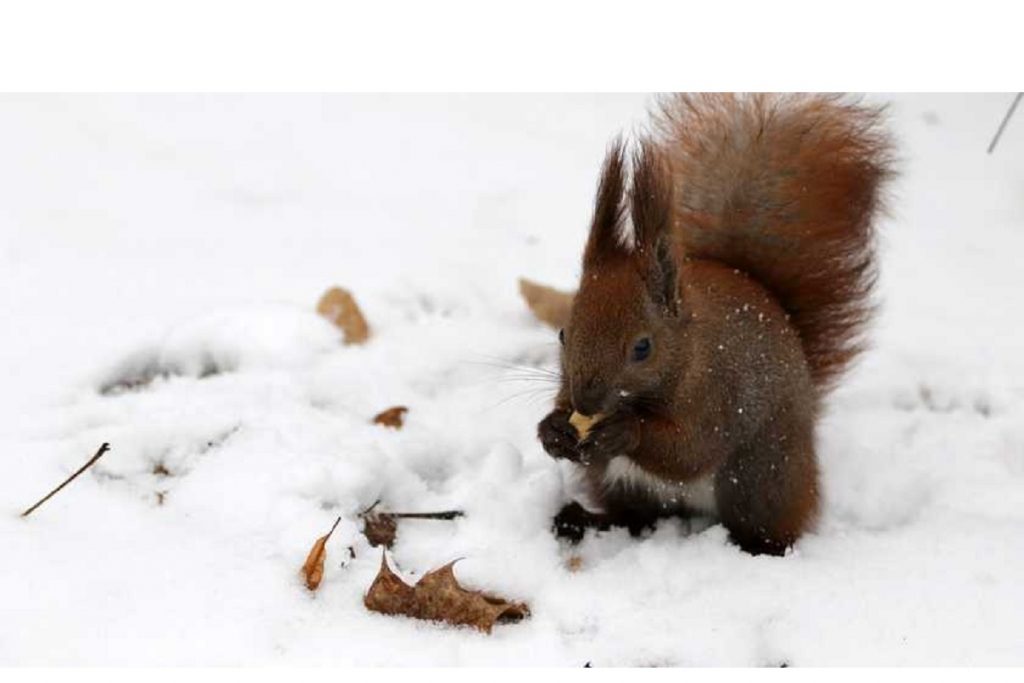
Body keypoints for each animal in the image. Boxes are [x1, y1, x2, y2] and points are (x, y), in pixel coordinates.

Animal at [540, 94, 892, 557]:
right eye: (563, 334)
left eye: (643, 348)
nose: (586, 401)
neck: (686, 354)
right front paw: (552, 430)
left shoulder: (717, 395)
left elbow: (690, 449)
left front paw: (624, 431)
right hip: (622, 483)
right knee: (636, 516)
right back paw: (582, 520)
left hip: (758, 475)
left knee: (762, 523)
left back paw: (757, 550)